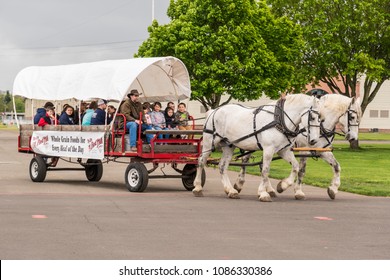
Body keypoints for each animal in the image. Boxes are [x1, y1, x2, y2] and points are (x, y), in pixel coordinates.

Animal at [192, 93, 322, 201]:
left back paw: (231, 190)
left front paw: (282, 185)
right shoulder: (269, 149)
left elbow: (296, 167)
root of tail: (214, 110)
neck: (279, 119)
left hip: (229, 146)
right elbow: (265, 170)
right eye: (312, 117)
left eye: (320, 118)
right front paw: (263, 193)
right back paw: (197, 187)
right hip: (209, 142)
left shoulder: (283, 150)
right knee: (201, 161)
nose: (314, 140)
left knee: (222, 166)